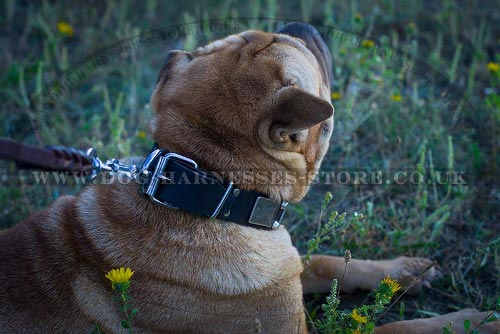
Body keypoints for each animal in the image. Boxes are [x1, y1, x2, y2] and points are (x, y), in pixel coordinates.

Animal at [1, 22, 498, 332]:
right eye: (298, 51)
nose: (298, 22)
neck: (211, 190)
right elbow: (400, 327)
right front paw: (473, 321)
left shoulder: (288, 271)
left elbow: (328, 262)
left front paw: (402, 271)